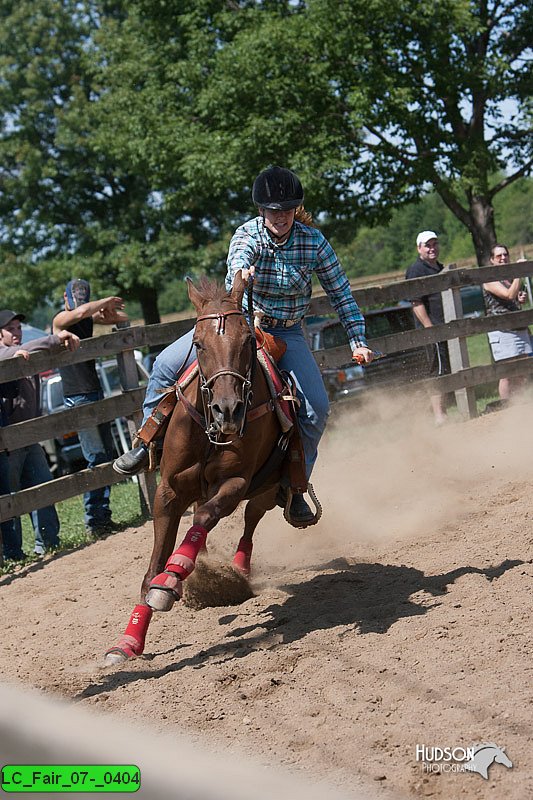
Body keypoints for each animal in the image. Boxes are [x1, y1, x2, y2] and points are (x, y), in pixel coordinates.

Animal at [105, 272, 286, 664]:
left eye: (248, 340)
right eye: (198, 344)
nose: (228, 410)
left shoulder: (234, 483)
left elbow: (202, 520)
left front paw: (173, 578)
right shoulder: (168, 491)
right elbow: (153, 568)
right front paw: (129, 641)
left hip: (268, 488)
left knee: (251, 517)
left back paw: (237, 568)